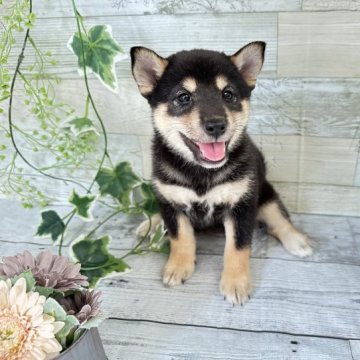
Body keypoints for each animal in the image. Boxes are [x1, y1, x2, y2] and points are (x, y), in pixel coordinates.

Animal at [130, 43, 312, 306]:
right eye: (183, 97)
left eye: (228, 94)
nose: (217, 125)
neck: (200, 173)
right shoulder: (171, 202)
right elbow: (180, 237)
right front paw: (178, 266)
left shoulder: (242, 206)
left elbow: (237, 248)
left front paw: (235, 284)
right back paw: (150, 223)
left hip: (264, 194)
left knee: (279, 219)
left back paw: (297, 240)